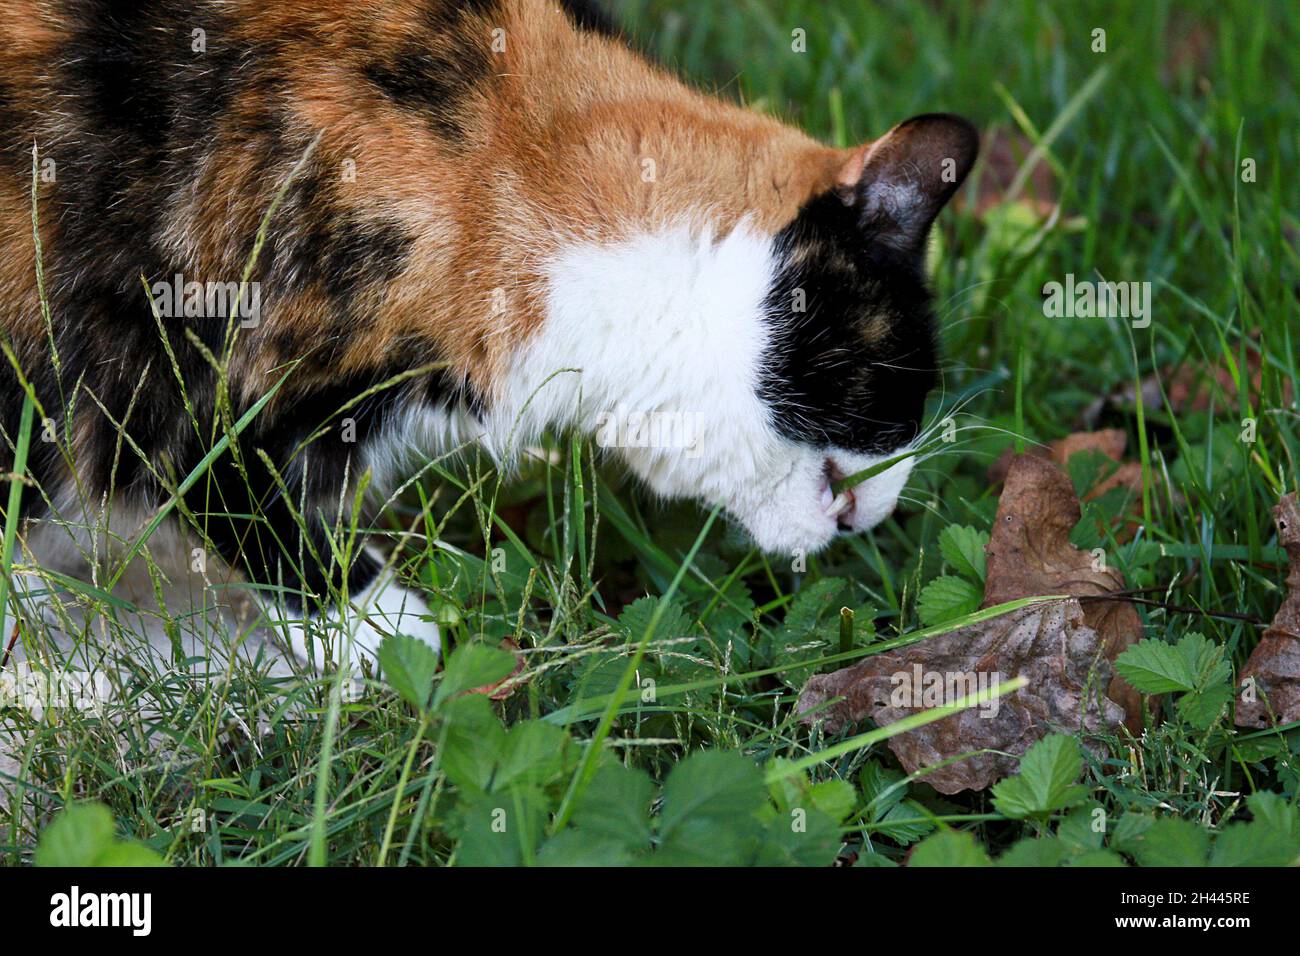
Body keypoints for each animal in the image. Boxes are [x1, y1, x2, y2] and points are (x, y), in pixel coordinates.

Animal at [0, 0, 977, 671]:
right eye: (907, 378)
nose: (885, 510)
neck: (509, 165)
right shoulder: (190, 379)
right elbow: (258, 510)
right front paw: (391, 636)